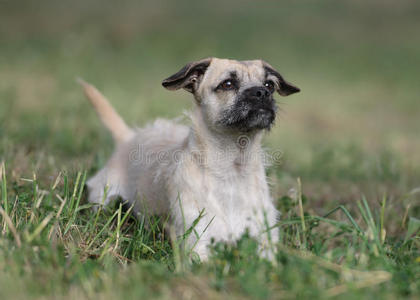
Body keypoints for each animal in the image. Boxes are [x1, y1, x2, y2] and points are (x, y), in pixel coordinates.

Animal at [80, 57, 300, 258]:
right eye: (228, 84)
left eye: (269, 84)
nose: (262, 92)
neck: (232, 169)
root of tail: (128, 137)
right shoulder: (197, 246)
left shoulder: (265, 243)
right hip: (102, 198)